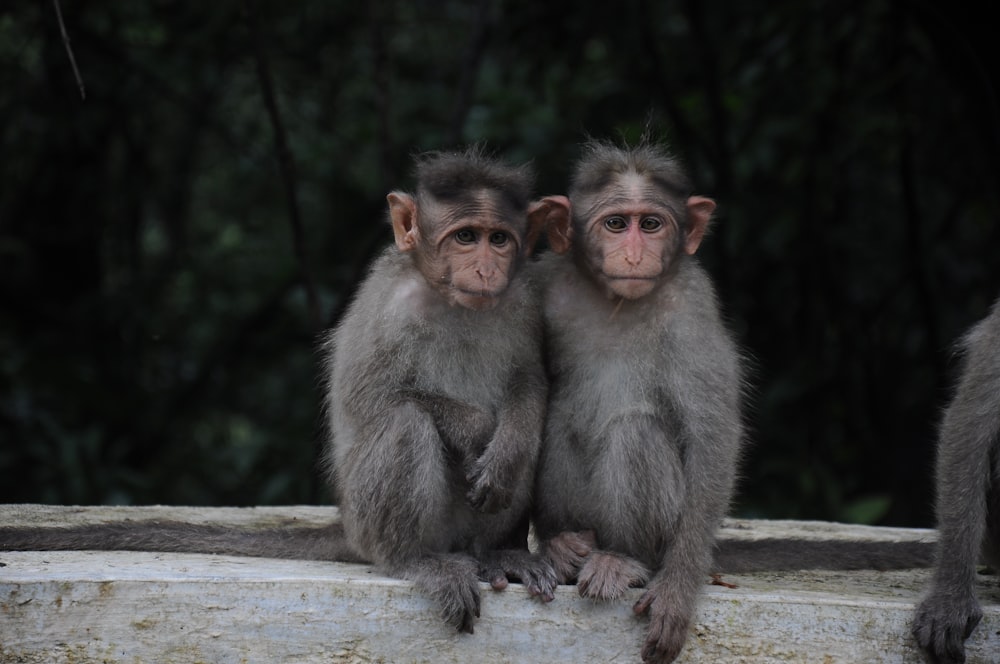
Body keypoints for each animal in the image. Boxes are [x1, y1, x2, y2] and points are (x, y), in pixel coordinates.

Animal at [0, 147, 572, 640]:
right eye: (465, 237)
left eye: (499, 239)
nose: (485, 268)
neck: (454, 302)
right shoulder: (388, 305)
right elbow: (369, 402)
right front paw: (476, 430)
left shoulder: (523, 298)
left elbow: (530, 384)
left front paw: (508, 445)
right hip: (369, 516)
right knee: (405, 421)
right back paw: (415, 559)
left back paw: (500, 552)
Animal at [536, 136, 748, 664]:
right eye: (616, 224)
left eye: (650, 224)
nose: (634, 255)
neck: (616, 300)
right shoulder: (545, 282)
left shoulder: (692, 308)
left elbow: (712, 438)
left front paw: (677, 590)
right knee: (558, 421)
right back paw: (560, 546)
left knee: (635, 431)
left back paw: (626, 560)